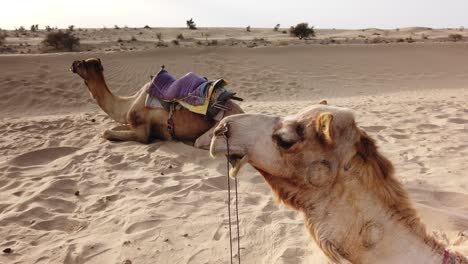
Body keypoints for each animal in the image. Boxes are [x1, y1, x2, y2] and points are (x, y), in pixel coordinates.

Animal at [71, 58, 243, 147]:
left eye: (81, 64)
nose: (72, 64)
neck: (128, 104)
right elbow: (112, 127)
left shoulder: (141, 131)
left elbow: (107, 132)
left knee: (199, 142)